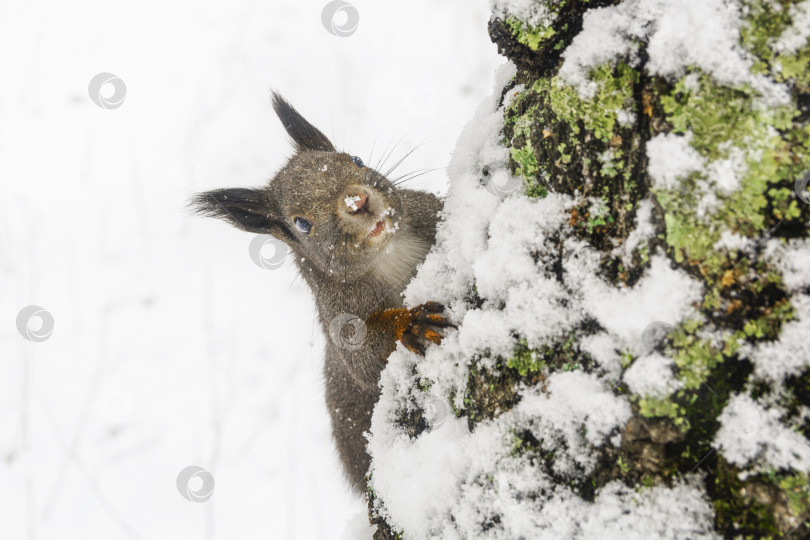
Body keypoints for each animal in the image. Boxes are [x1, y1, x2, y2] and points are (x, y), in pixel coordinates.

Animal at [190, 93, 454, 494]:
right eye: (302, 224)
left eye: (356, 160)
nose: (357, 201)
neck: (388, 254)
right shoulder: (338, 314)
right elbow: (364, 359)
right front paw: (409, 323)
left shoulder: (428, 211)